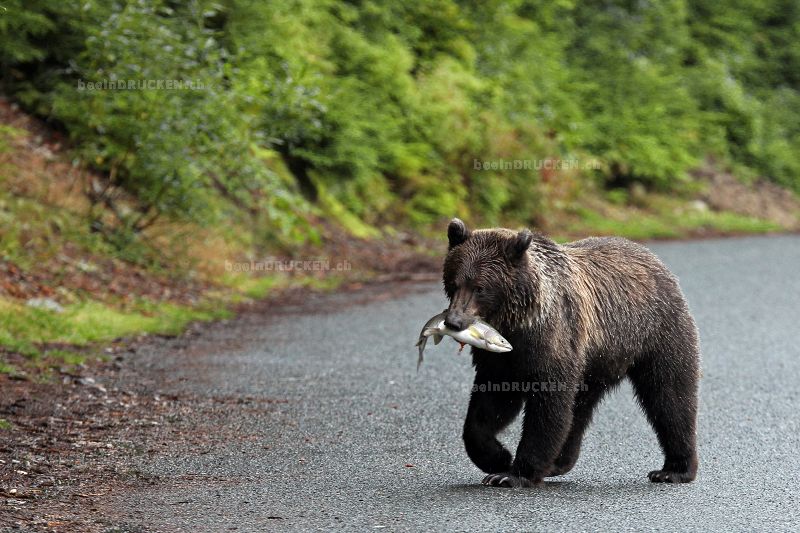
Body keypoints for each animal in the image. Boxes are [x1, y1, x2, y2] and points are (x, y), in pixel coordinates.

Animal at [444, 217, 700, 486]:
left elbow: (548, 408)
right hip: (595, 363)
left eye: (480, 288)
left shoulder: (553, 341)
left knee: (669, 396)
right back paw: (558, 462)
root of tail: (655, 260)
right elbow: (490, 404)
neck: (516, 324)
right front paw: (498, 457)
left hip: (657, 332)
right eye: (453, 282)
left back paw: (674, 469)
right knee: (579, 409)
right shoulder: (499, 358)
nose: (454, 321)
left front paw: (512, 474)